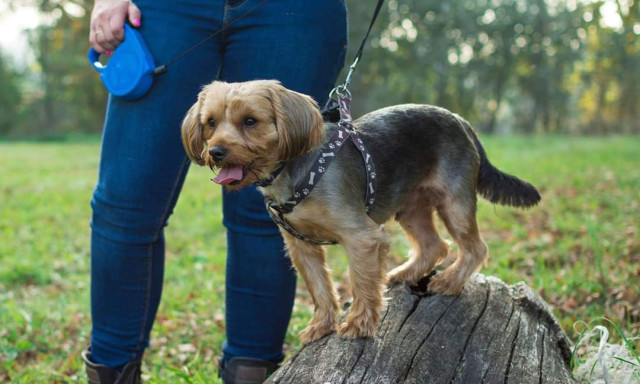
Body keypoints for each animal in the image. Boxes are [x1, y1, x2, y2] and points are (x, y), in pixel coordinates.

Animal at [181, 79, 540, 344]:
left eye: (250, 122)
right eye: (210, 122)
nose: (216, 151)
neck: (291, 170)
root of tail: (461, 121)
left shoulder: (362, 237)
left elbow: (363, 282)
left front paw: (358, 323)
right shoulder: (301, 246)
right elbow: (320, 288)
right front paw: (322, 324)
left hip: (455, 202)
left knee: (475, 247)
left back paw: (450, 281)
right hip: (410, 207)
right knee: (434, 245)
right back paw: (403, 274)